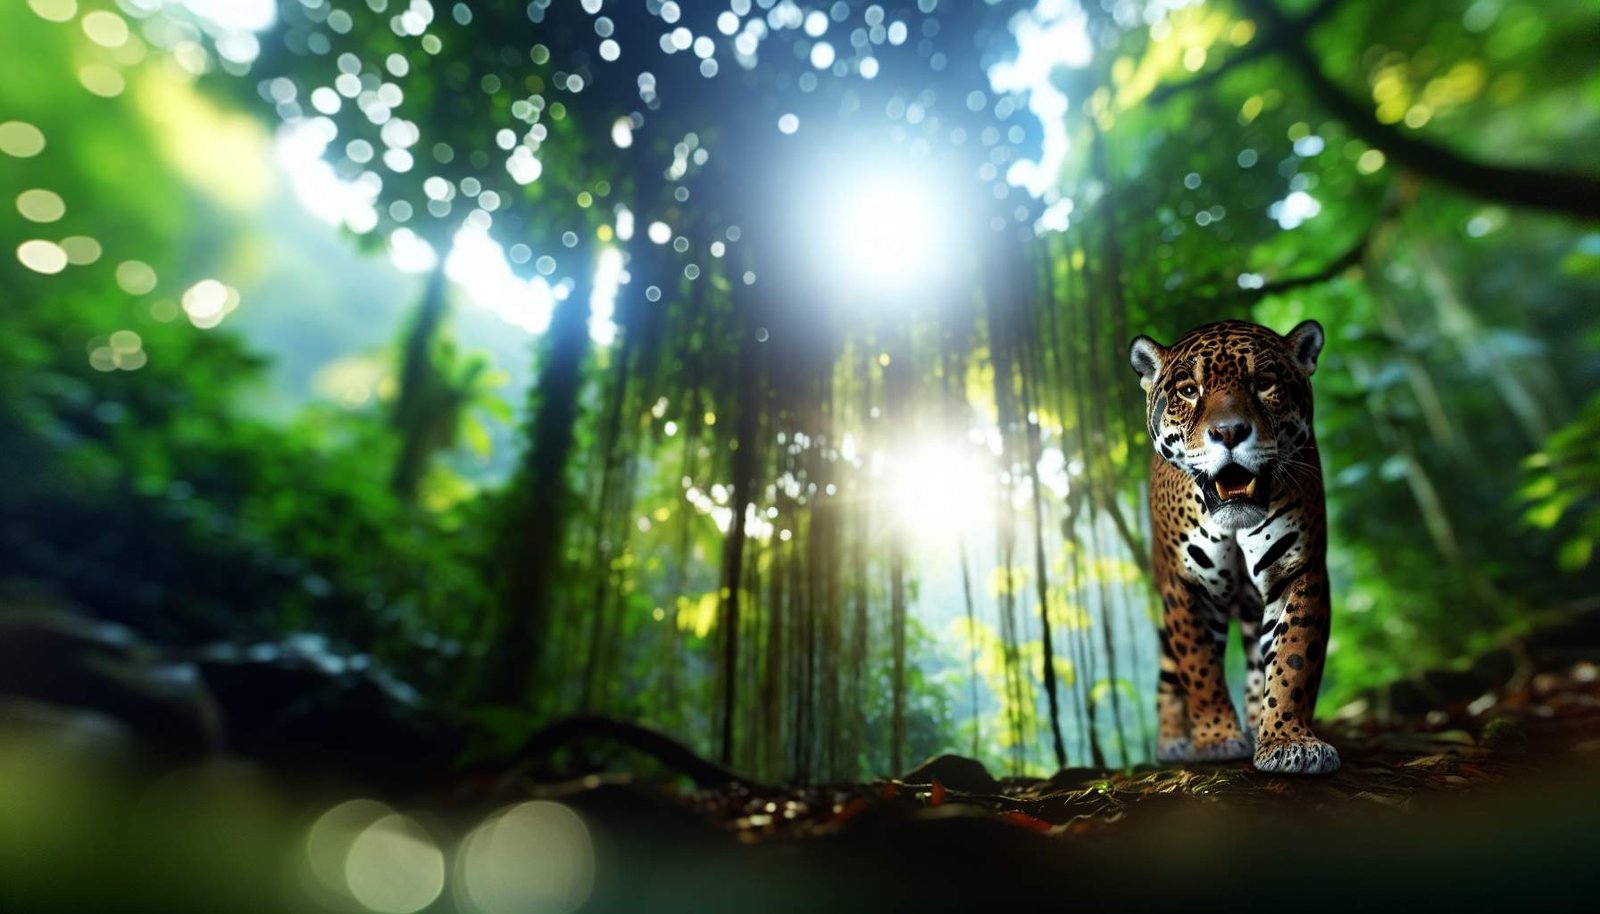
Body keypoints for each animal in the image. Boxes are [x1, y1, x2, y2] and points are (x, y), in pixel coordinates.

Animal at [1129, 319, 1339, 775]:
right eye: (1189, 390)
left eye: (1263, 383)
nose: (1229, 432)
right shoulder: (1186, 586)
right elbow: (1200, 667)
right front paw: (1215, 741)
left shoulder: (1298, 569)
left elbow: (1294, 658)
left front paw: (1286, 741)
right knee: (1169, 674)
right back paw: (1172, 743)